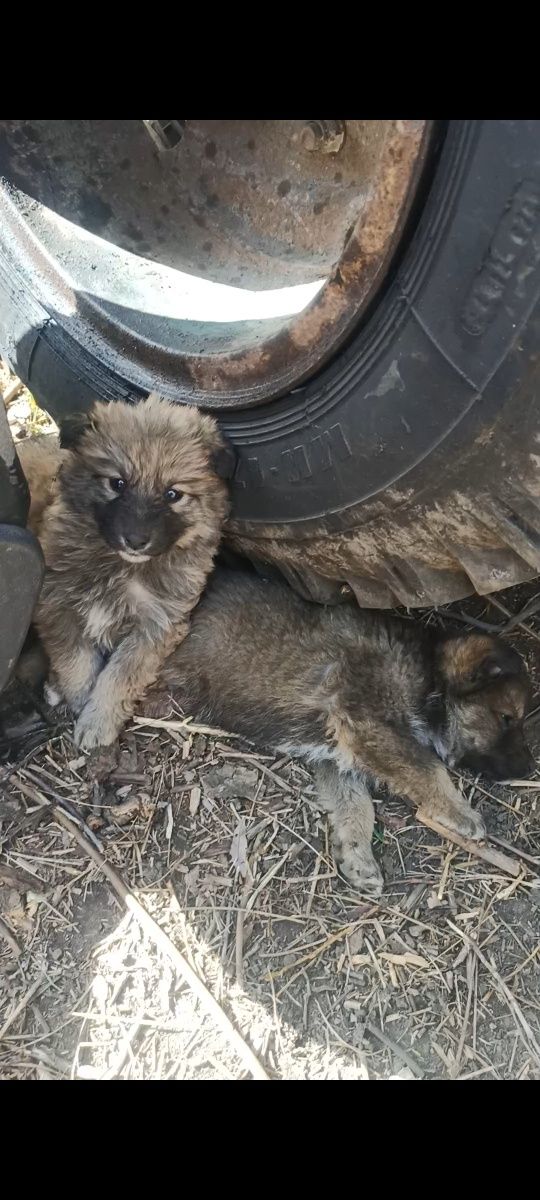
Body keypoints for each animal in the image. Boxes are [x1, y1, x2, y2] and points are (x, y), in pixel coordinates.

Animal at [29, 393, 231, 748]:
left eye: (173, 494)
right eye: (117, 483)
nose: (135, 541)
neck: (120, 566)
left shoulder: (155, 626)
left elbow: (119, 677)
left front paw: (98, 720)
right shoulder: (56, 603)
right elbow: (75, 661)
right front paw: (80, 700)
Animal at [153, 566, 532, 897]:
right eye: (506, 718)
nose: (529, 769)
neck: (429, 674)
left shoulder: (341, 752)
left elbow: (355, 805)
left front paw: (357, 856)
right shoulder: (366, 723)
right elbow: (428, 767)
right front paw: (461, 813)